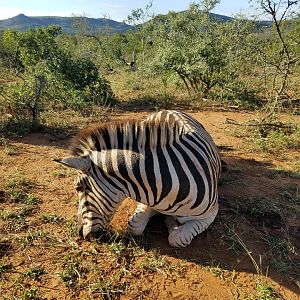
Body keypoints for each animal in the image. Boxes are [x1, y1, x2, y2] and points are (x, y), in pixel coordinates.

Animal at [55, 110, 221, 246]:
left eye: (78, 188)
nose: (79, 233)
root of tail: (170, 110)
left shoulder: (210, 214)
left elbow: (178, 238)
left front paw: (172, 223)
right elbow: (134, 225)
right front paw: (169, 220)